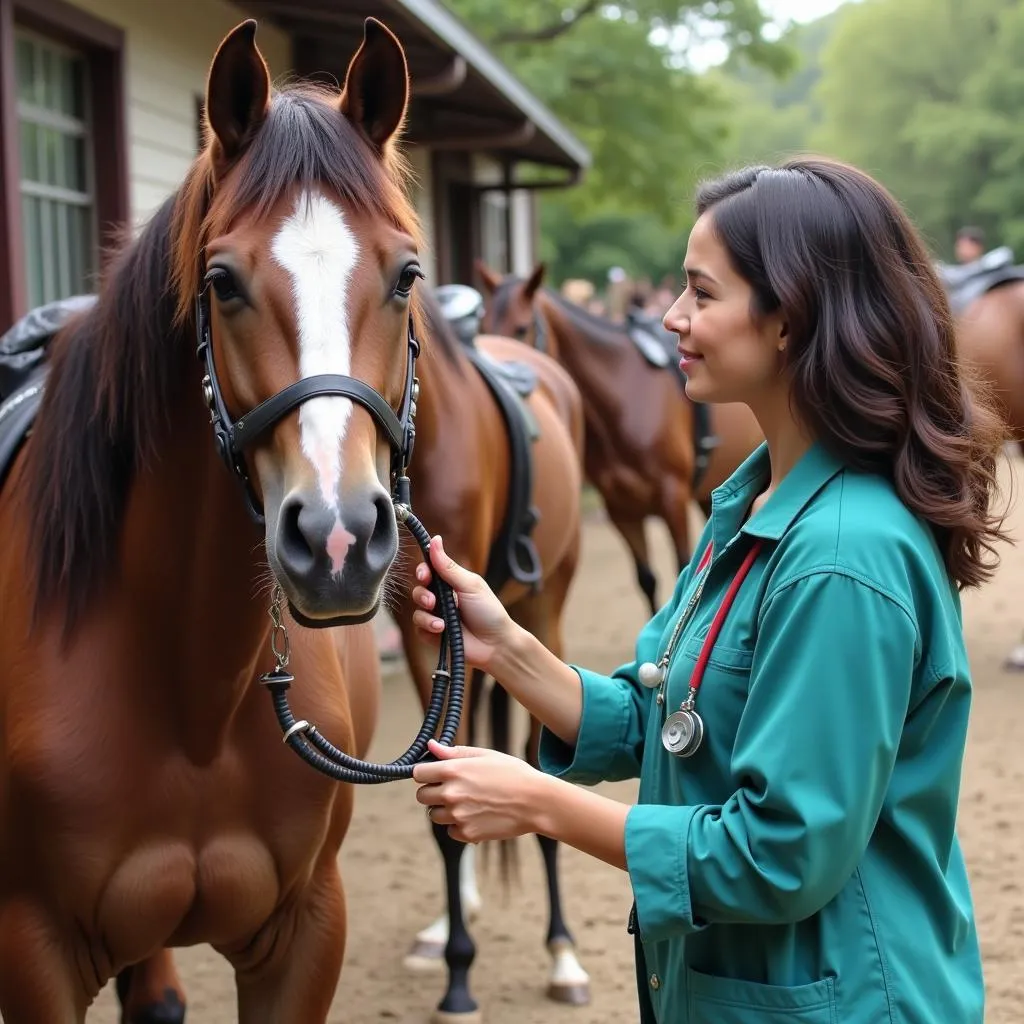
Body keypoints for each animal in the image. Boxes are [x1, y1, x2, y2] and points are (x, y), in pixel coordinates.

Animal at [0, 16, 452, 1024]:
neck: (193, 700)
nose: (336, 541)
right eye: (223, 281)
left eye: (407, 274)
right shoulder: (33, 955)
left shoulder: (305, 934)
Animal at [477, 262, 761, 614]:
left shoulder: (672, 497)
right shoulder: (622, 509)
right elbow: (647, 579)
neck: (623, 396)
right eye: (482, 323)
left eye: (521, 328)